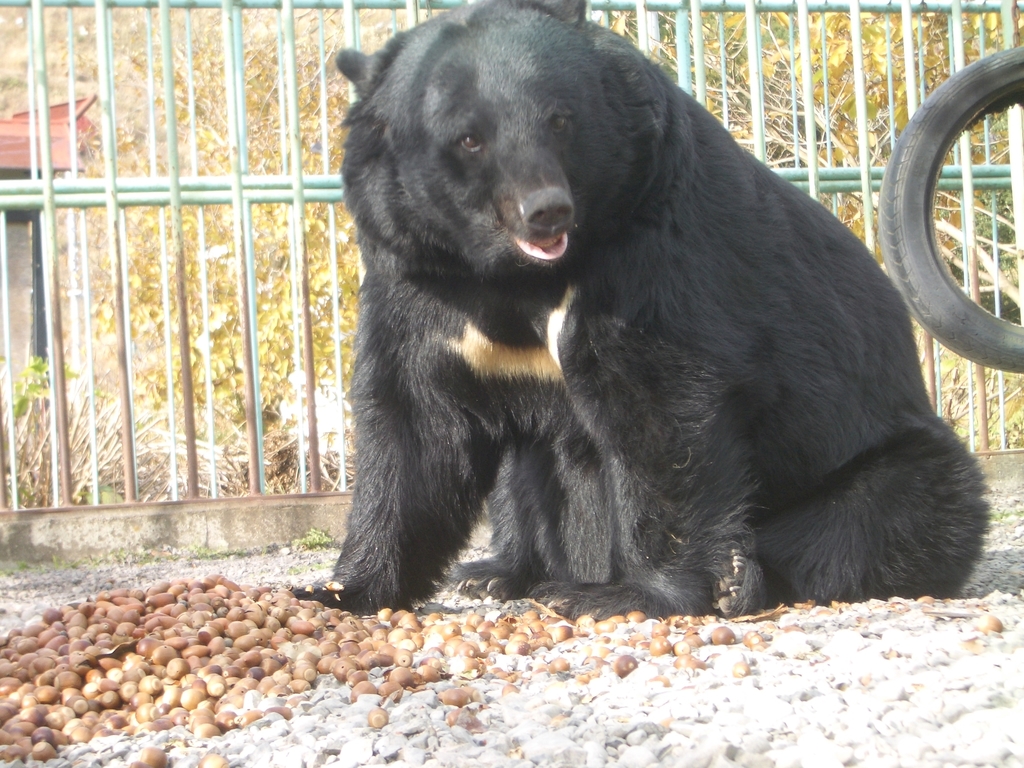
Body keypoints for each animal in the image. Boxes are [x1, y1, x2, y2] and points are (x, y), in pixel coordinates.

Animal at [315, 0, 987, 618]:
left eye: (560, 119)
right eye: (469, 138)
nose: (546, 210)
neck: (509, 275)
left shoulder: (649, 235)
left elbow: (660, 406)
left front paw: (626, 594)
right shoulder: (417, 276)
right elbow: (415, 423)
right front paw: (339, 590)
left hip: (882, 458)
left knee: (876, 519)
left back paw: (737, 579)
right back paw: (496, 573)